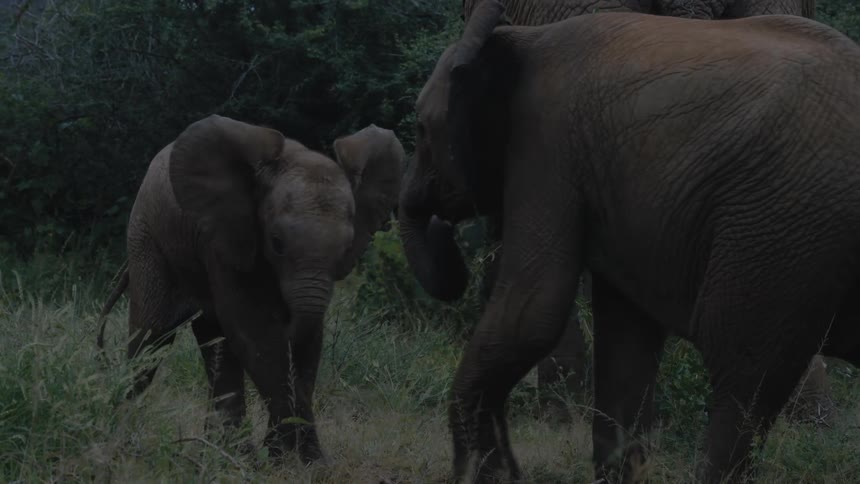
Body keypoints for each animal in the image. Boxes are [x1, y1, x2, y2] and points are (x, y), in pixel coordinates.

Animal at [97, 115, 403, 463]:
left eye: (345, 248)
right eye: (276, 243)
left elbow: (305, 342)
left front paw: (292, 459)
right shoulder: (226, 236)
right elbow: (255, 334)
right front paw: (298, 461)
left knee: (214, 342)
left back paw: (226, 452)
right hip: (148, 242)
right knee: (151, 339)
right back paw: (125, 441)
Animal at [399, 1, 860, 482]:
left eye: (421, 128)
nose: (442, 225)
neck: (515, 40)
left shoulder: (546, 146)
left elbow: (532, 310)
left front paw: (487, 474)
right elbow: (626, 337)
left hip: (781, 226)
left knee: (743, 377)